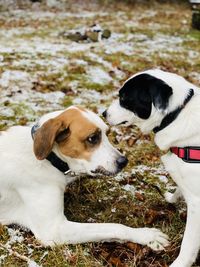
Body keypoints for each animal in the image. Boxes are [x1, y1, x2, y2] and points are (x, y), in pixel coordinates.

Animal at [0, 104, 169, 249]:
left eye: (107, 134)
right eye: (92, 138)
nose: (123, 161)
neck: (49, 158)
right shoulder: (54, 230)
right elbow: (114, 227)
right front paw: (146, 235)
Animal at [104, 69, 200, 267]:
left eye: (124, 98)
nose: (103, 113)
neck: (176, 114)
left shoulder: (198, 202)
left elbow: (188, 243)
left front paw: (180, 263)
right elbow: (178, 189)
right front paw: (171, 197)